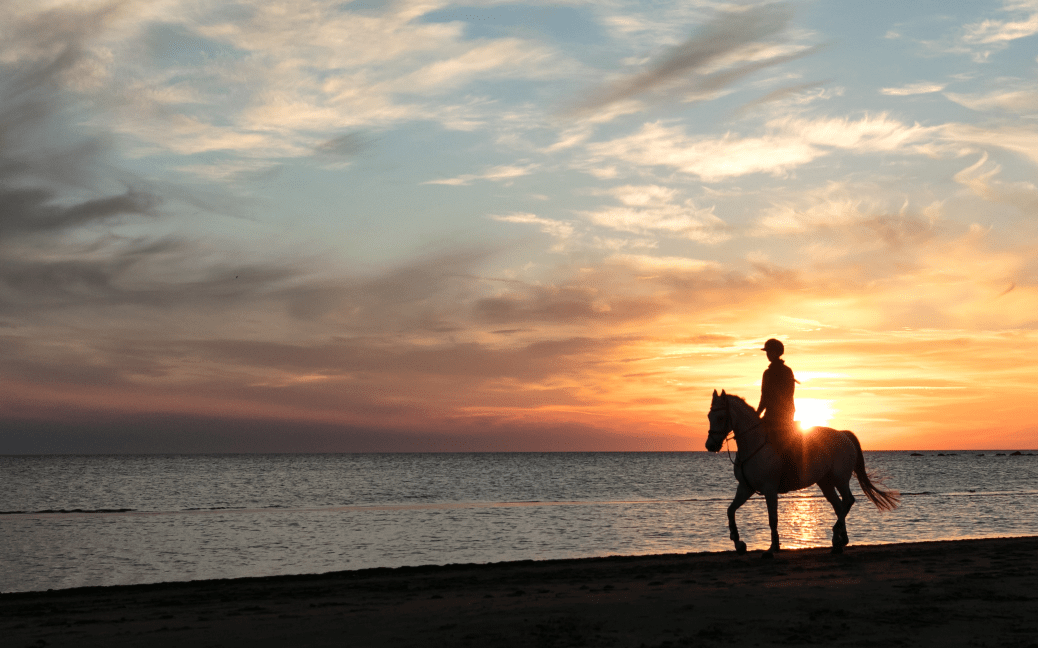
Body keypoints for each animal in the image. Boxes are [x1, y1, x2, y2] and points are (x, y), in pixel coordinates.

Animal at [705, 390, 900, 556]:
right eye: (709, 416)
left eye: (721, 417)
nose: (710, 446)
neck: (753, 445)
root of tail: (843, 435)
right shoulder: (746, 488)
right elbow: (730, 510)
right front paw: (738, 542)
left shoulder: (769, 489)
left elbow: (772, 518)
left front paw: (772, 548)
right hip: (825, 483)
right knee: (839, 505)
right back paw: (839, 541)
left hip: (840, 479)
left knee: (848, 501)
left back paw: (837, 535)